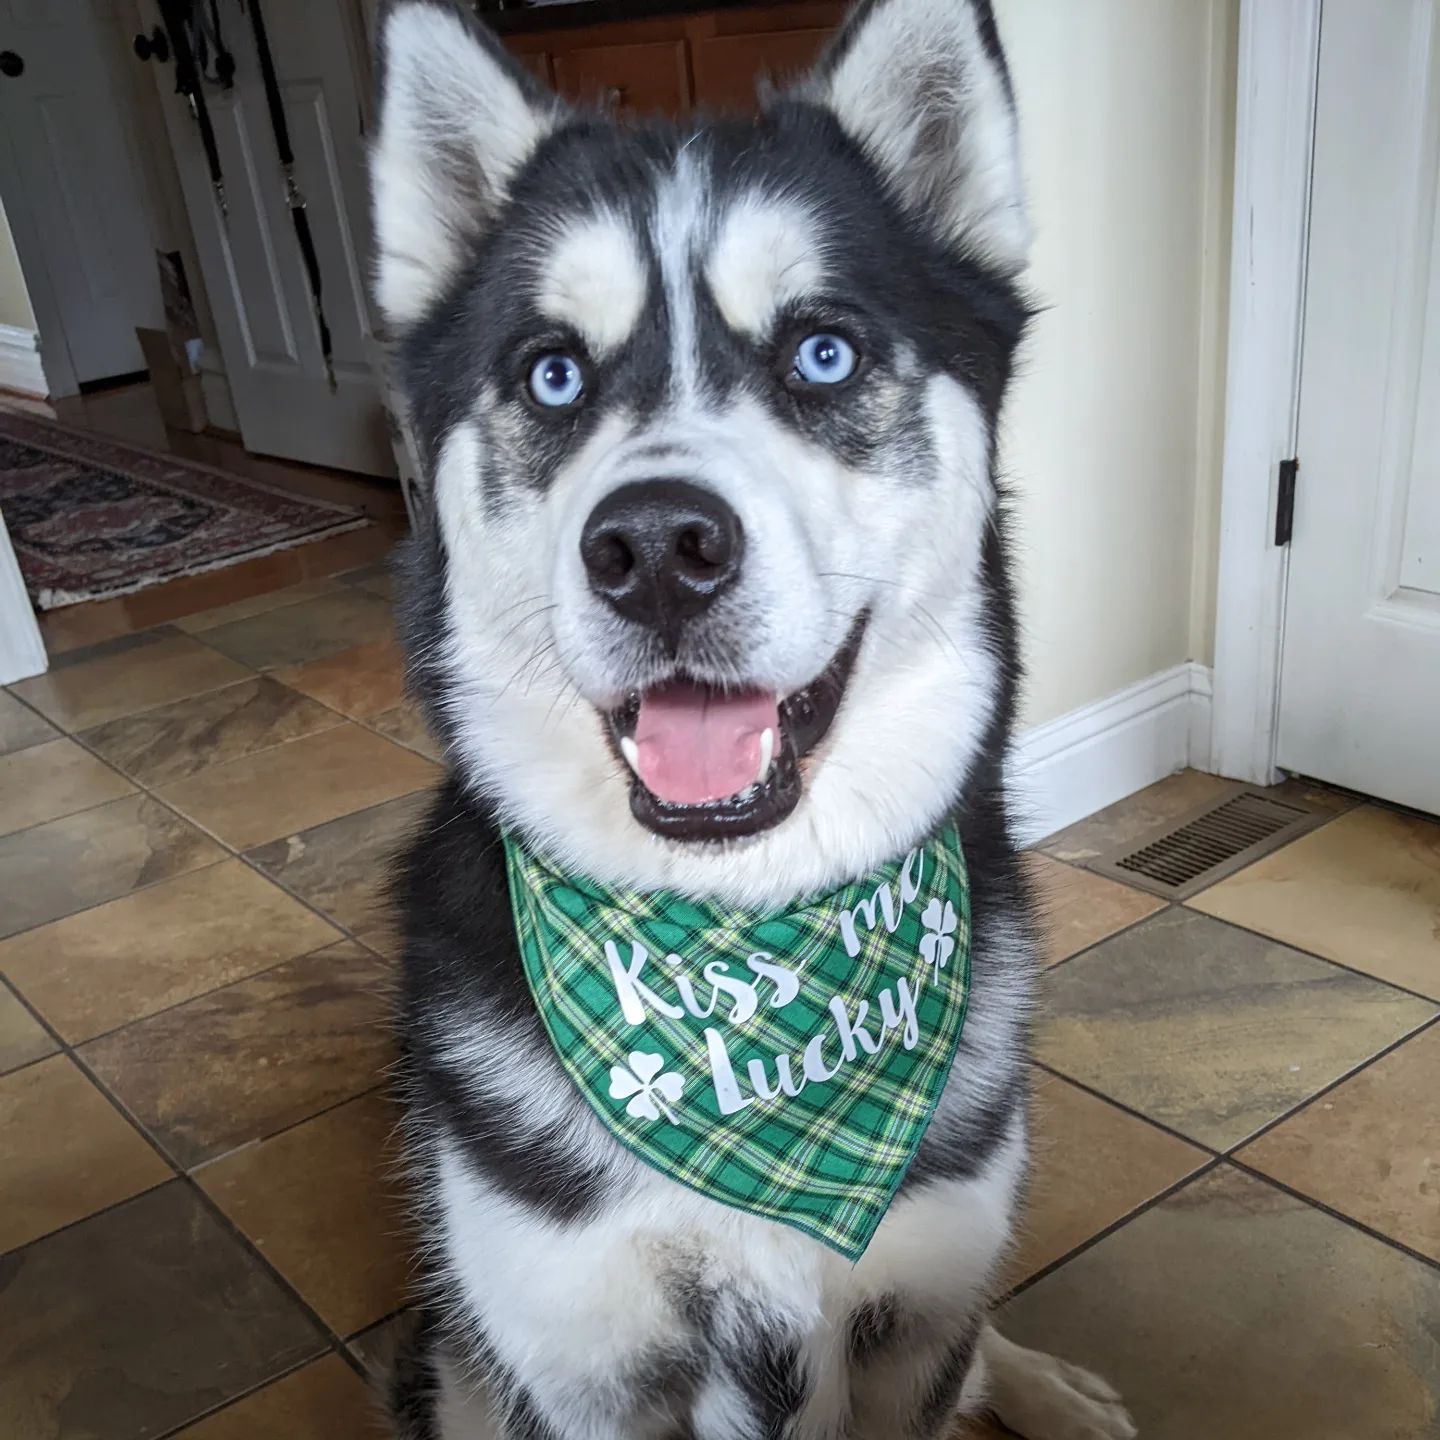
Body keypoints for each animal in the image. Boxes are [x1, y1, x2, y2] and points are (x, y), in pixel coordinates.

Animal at [371, 0, 1134, 1434]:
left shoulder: (910, 1320)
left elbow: (947, 1344)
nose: (657, 550)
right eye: (552, 376)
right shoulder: (582, 1366)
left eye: (821, 352)